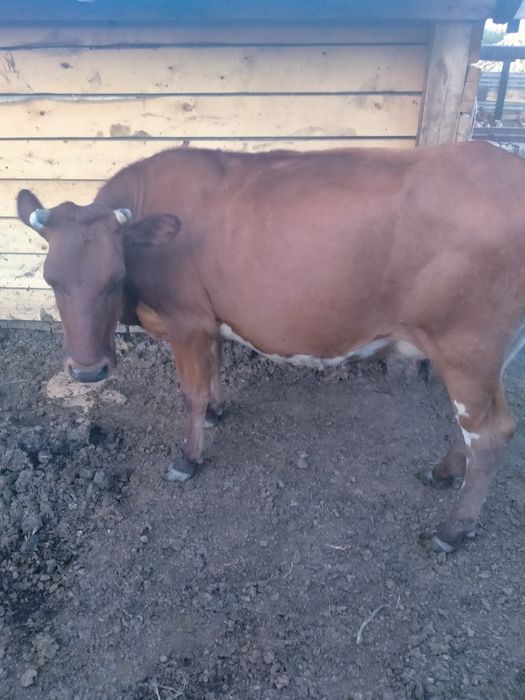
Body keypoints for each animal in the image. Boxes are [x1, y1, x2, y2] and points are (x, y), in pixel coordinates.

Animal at [16, 141, 525, 554]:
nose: (87, 372)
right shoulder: (210, 320)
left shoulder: (187, 320)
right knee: (478, 427)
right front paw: (218, 411)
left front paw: (188, 458)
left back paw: (452, 529)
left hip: (466, 346)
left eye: (115, 276)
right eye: (51, 279)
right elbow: (216, 368)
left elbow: (192, 392)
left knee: (490, 432)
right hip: (478, 357)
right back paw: (443, 472)